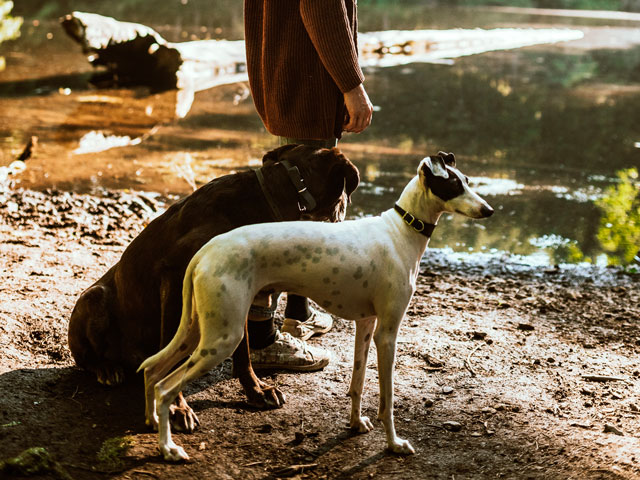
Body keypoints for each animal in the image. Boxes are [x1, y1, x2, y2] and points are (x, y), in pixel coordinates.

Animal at [70, 144, 360, 430]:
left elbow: (243, 351)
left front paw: (256, 391)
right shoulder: (175, 279)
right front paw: (177, 408)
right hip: (94, 299)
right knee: (85, 357)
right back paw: (107, 369)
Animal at [140, 153, 492, 462]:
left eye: (468, 181)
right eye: (453, 186)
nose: (488, 210)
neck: (400, 231)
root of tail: (206, 250)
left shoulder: (366, 325)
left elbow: (357, 382)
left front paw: (356, 424)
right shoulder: (388, 334)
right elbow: (387, 398)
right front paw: (394, 444)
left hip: (197, 330)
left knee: (152, 372)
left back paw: (153, 424)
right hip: (222, 338)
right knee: (166, 387)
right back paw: (169, 450)